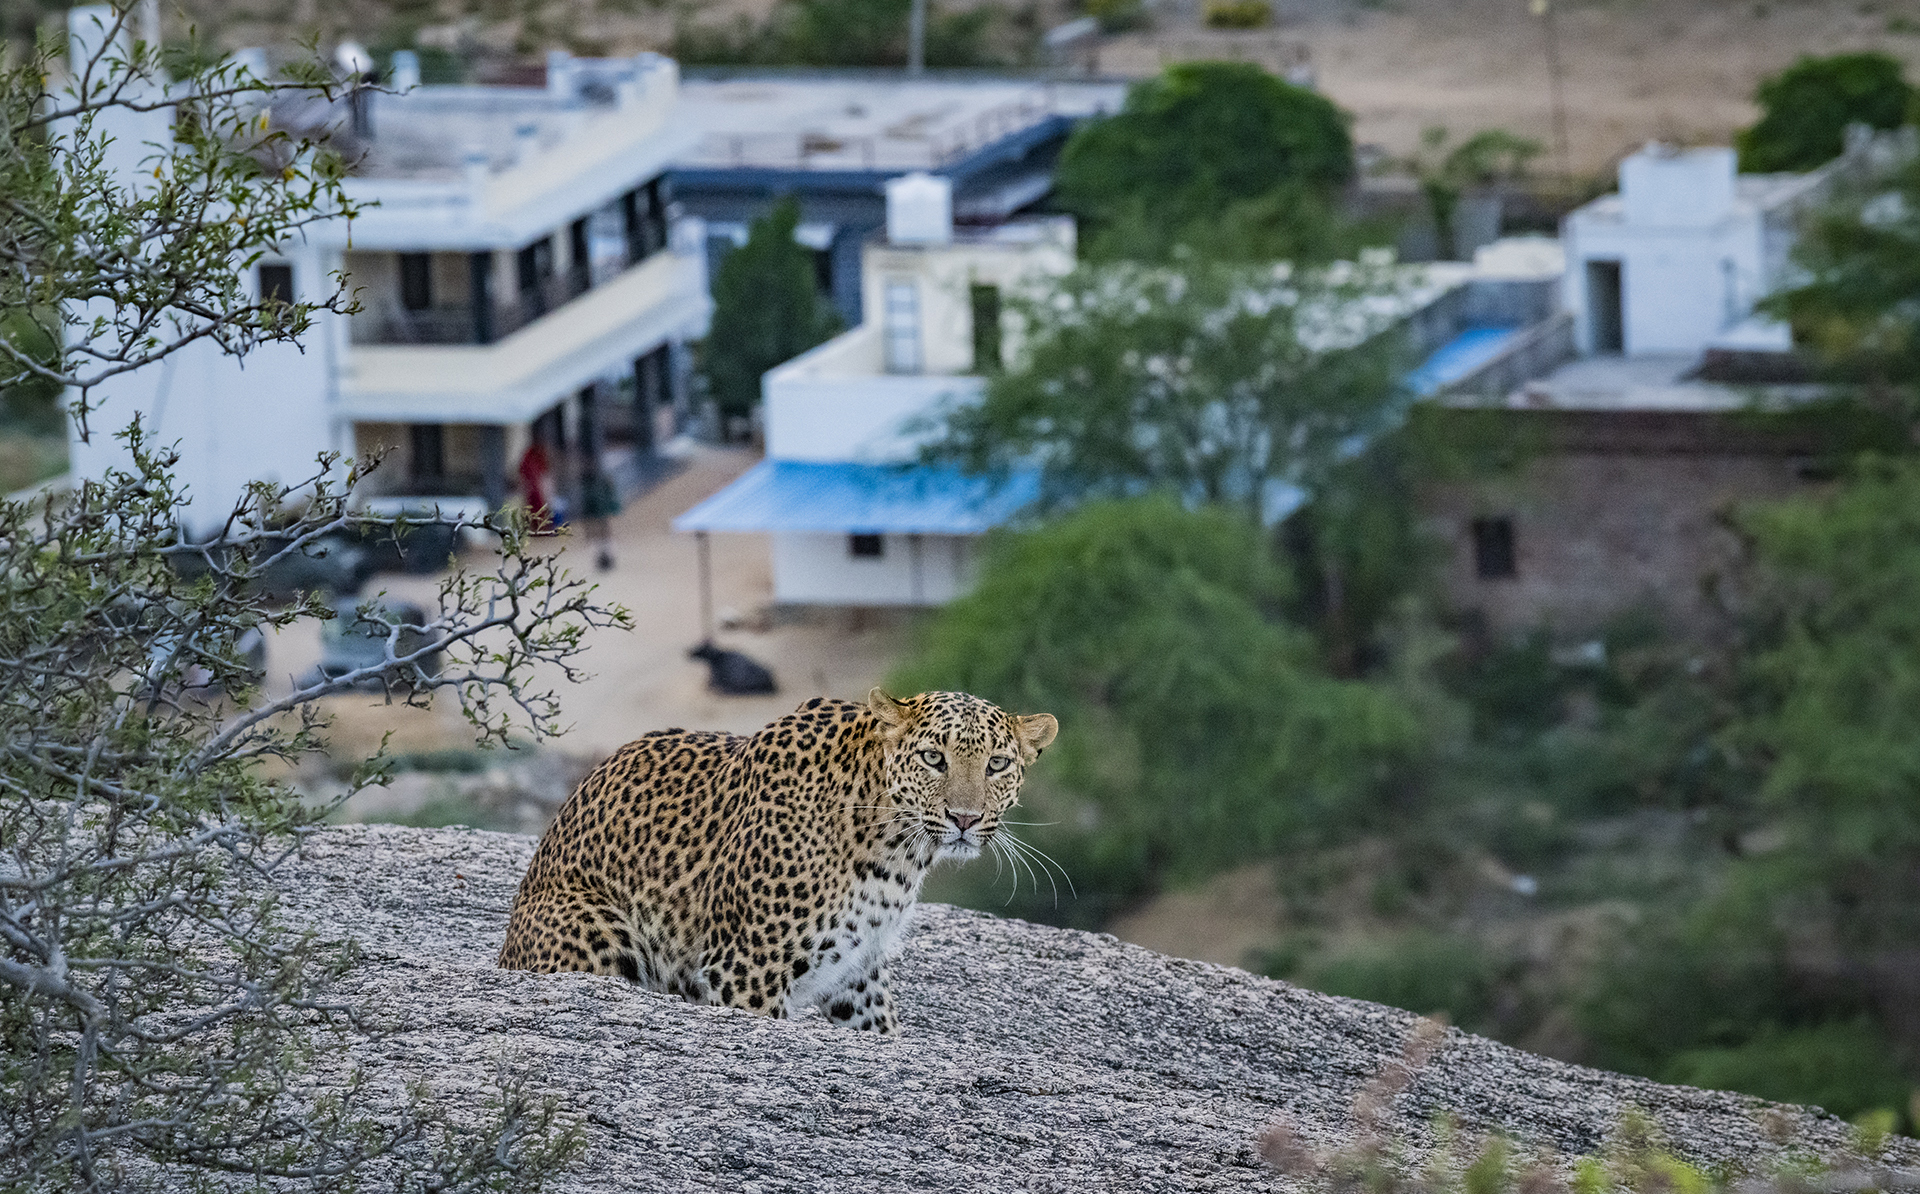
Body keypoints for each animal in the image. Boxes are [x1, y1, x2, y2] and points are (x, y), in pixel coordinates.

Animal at [497, 688, 1058, 1033]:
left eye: (997, 764)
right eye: (933, 758)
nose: (964, 818)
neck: (894, 855)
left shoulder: (860, 973)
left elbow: (883, 1030)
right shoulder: (748, 970)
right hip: (598, 930)